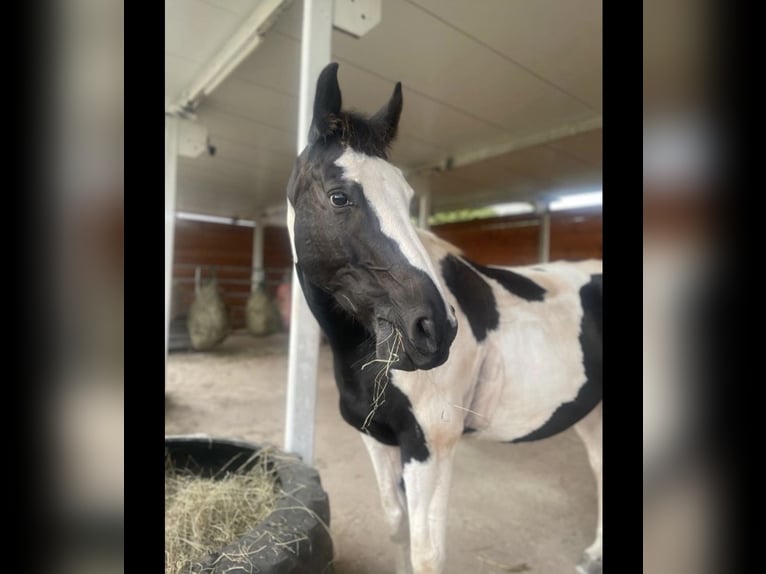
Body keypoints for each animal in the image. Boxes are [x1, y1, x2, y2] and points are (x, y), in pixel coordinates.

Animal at [284, 63, 604, 574]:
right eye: (338, 197)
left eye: (407, 195)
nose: (436, 328)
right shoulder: (378, 440)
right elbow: (397, 529)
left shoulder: (430, 448)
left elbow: (426, 553)